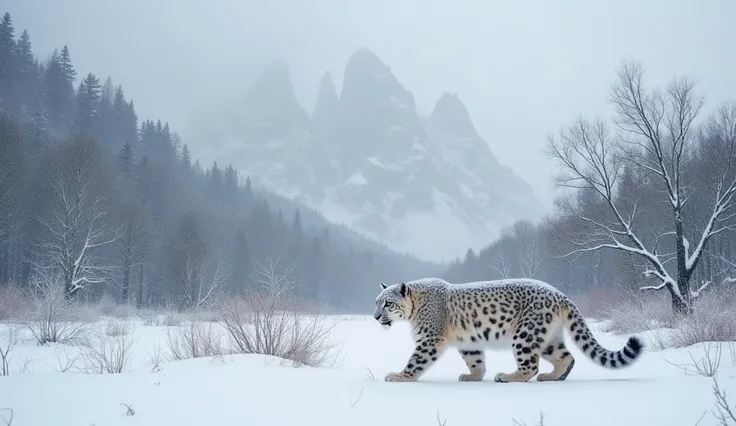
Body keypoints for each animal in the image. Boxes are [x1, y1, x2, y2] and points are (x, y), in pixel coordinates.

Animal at [370, 280, 640, 382]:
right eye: (376, 301)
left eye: (388, 303)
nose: (375, 317)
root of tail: (560, 295)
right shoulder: (468, 341)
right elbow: (475, 360)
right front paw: (472, 376)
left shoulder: (429, 339)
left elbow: (416, 361)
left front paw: (399, 376)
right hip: (548, 338)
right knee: (566, 357)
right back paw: (552, 377)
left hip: (525, 334)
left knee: (530, 365)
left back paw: (508, 376)